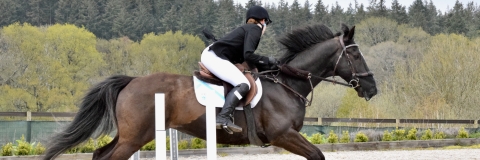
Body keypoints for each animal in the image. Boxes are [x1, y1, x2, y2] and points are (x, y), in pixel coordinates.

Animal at [43, 24, 376, 160]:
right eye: (355, 54)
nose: (372, 88)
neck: (287, 84)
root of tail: (132, 80)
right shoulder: (284, 135)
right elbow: (317, 154)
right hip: (136, 136)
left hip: (132, 135)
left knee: (101, 154)